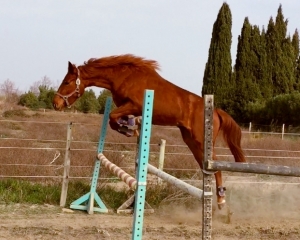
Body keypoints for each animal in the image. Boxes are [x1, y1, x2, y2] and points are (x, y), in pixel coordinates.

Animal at [52, 54, 245, 208]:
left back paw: (220, 199)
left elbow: (113, 118)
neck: (122, 76)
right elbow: (115, 119)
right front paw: (130, 127)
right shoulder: (129, 108)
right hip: (190, 140)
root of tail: (216, 111)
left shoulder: (134, 105)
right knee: (206, 166)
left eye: (67, 82)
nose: (56, 103)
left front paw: (128, 129)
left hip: (202, 140)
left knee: (216, 165)